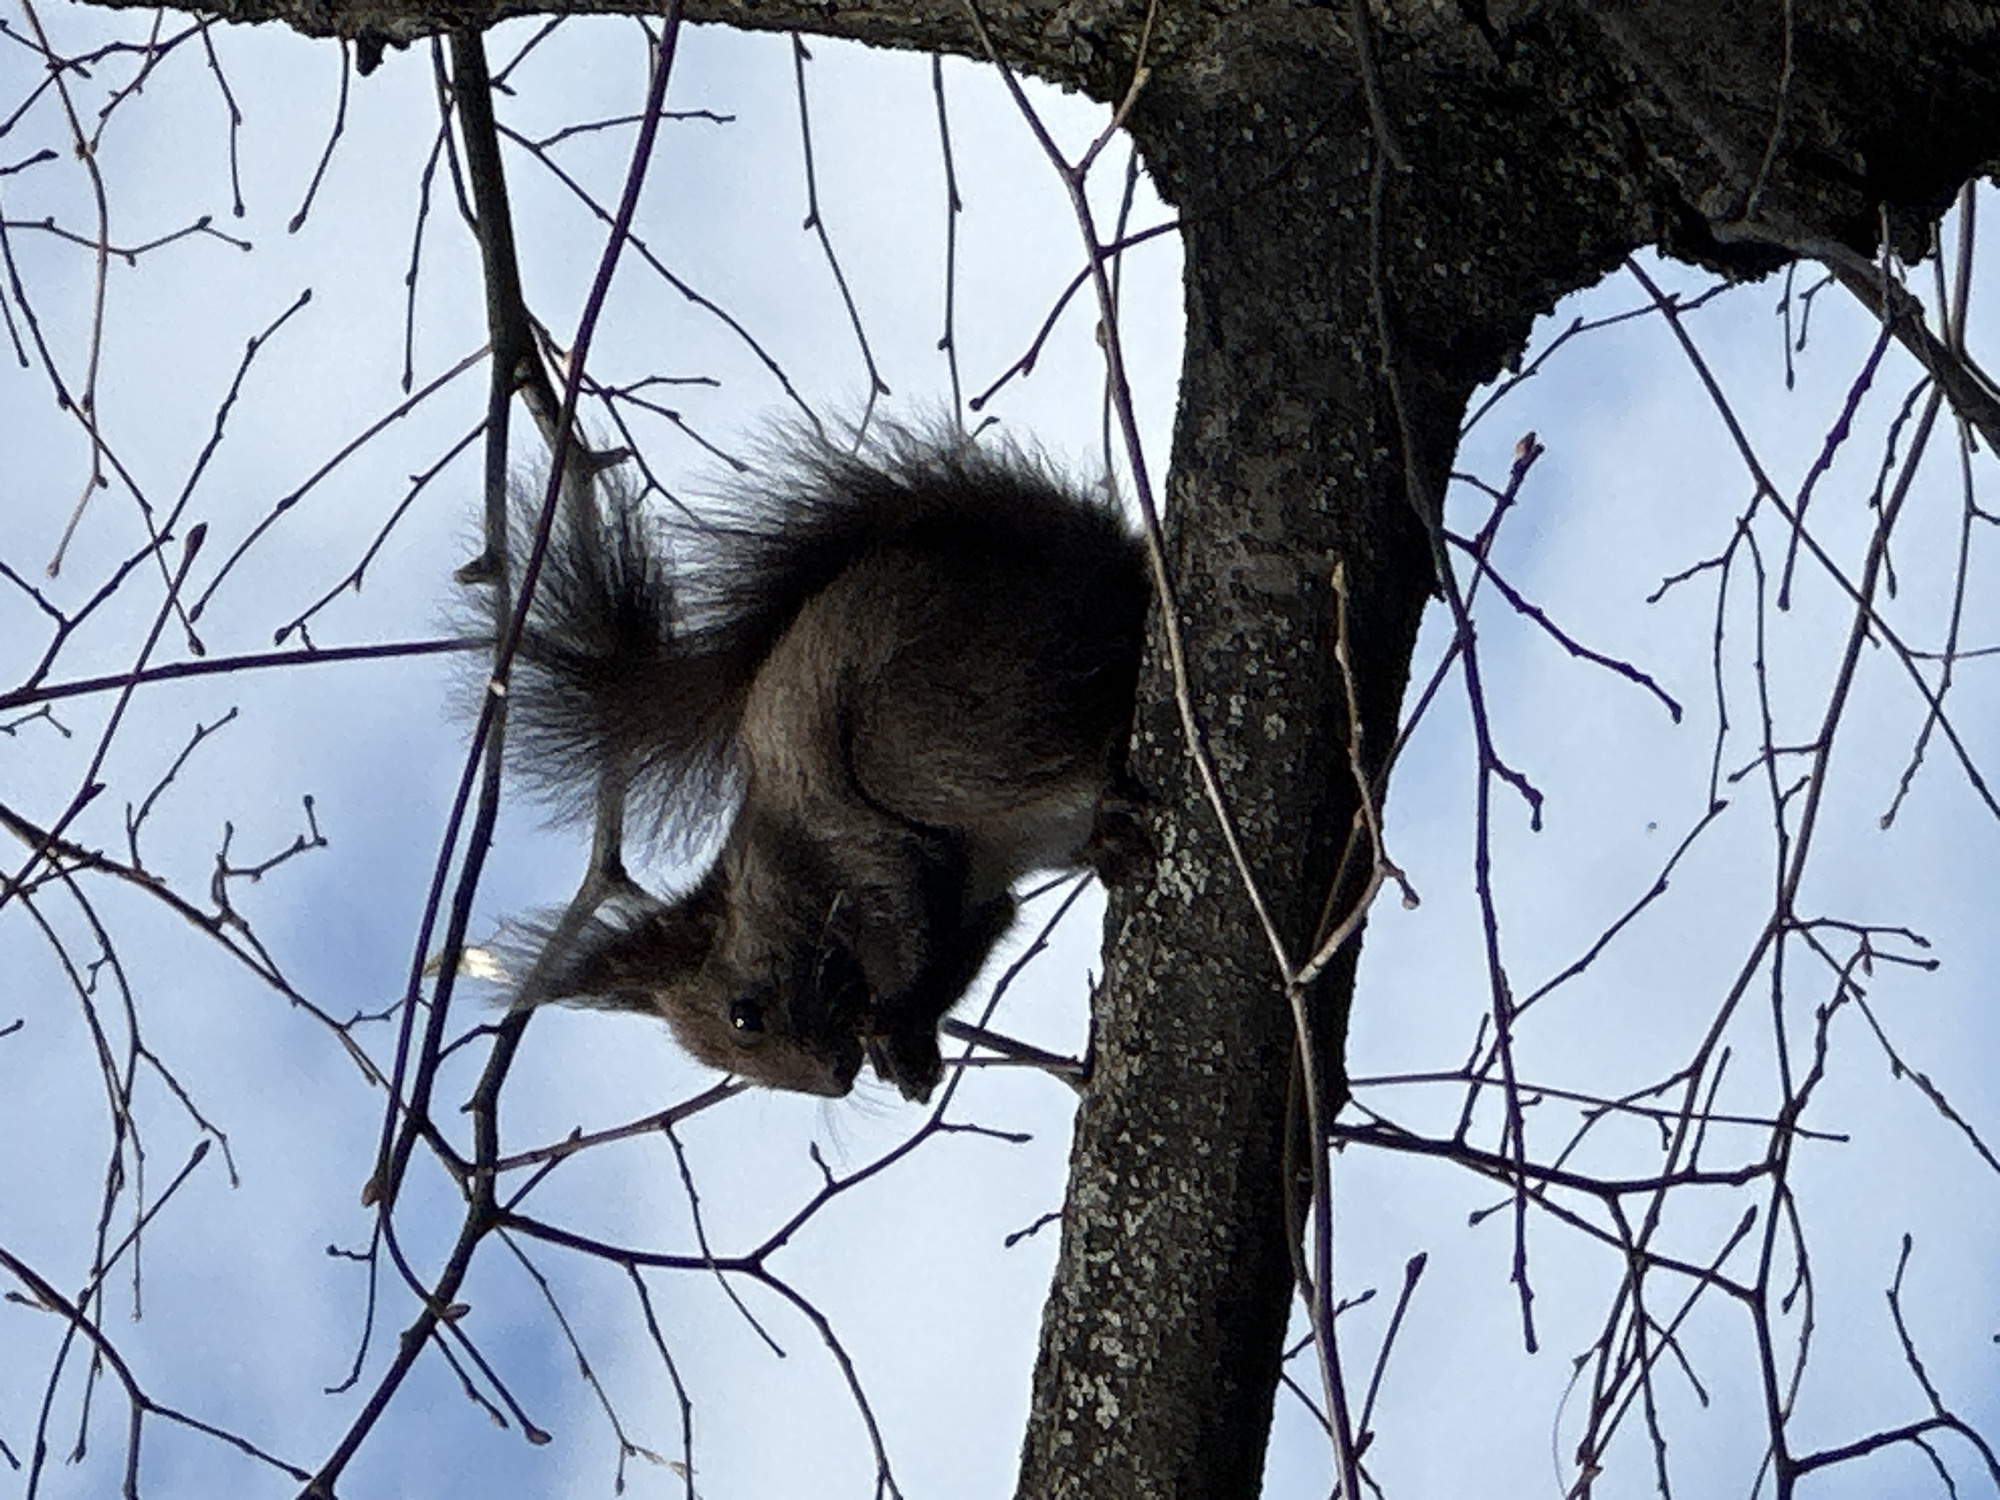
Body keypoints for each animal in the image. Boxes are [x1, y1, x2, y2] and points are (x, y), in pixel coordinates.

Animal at [495, 425, 1152, 1101]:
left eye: (745, 1016)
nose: (837, 1077)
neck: (773, 863)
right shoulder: (975, 901)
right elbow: (980, 931)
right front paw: (906, 1047)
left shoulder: (860, 844)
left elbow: (915, 930)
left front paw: (897, 1022)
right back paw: (1105, 839)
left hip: (937, 726)